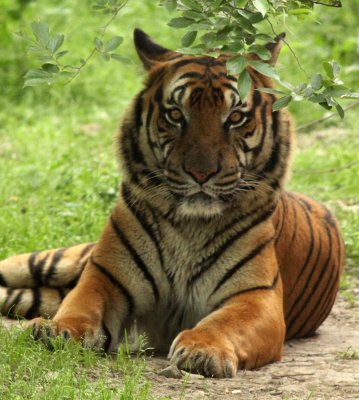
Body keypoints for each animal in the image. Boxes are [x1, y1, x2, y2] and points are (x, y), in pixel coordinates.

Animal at [0, 28, 346, 378]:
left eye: (235, 117)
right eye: (176, 115)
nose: (201, 173)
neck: (189, 226)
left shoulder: (256, 296)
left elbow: (224, 322)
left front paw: (203, 350)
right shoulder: (105, 276)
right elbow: (80, 307)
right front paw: (57, 331)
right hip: (55, 261)